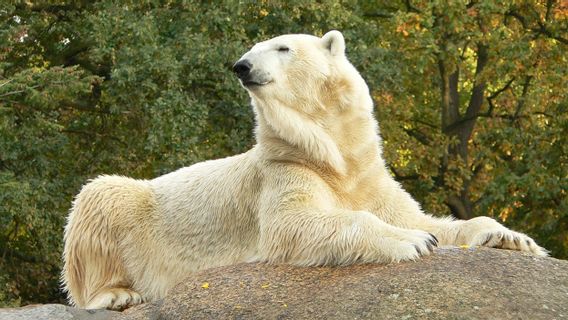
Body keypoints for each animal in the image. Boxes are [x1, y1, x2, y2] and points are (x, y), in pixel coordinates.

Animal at [62, 30, 544, 310]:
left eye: (282, 47)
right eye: (250, 50)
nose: (242, 66)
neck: (333, 156)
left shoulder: (368, 176)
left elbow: (420, 216)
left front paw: (510, 237)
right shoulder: (284, 169)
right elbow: (293, 223)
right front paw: (412, 241)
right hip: (131, 210)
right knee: (99, 197)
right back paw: (116, 294)